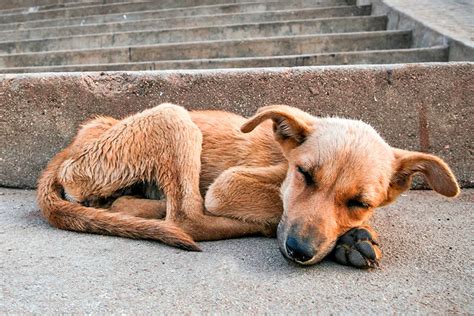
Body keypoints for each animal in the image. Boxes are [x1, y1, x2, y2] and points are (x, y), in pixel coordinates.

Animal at [37, 103, 460, 266]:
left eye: (359, 202)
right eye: (305, 175)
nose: (299, 251)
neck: (283, 159)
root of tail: (70, 148)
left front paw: (352, 235)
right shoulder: (228, 185)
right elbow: (276, 205)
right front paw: (348, 238)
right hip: (173, 117)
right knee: (187, 217)